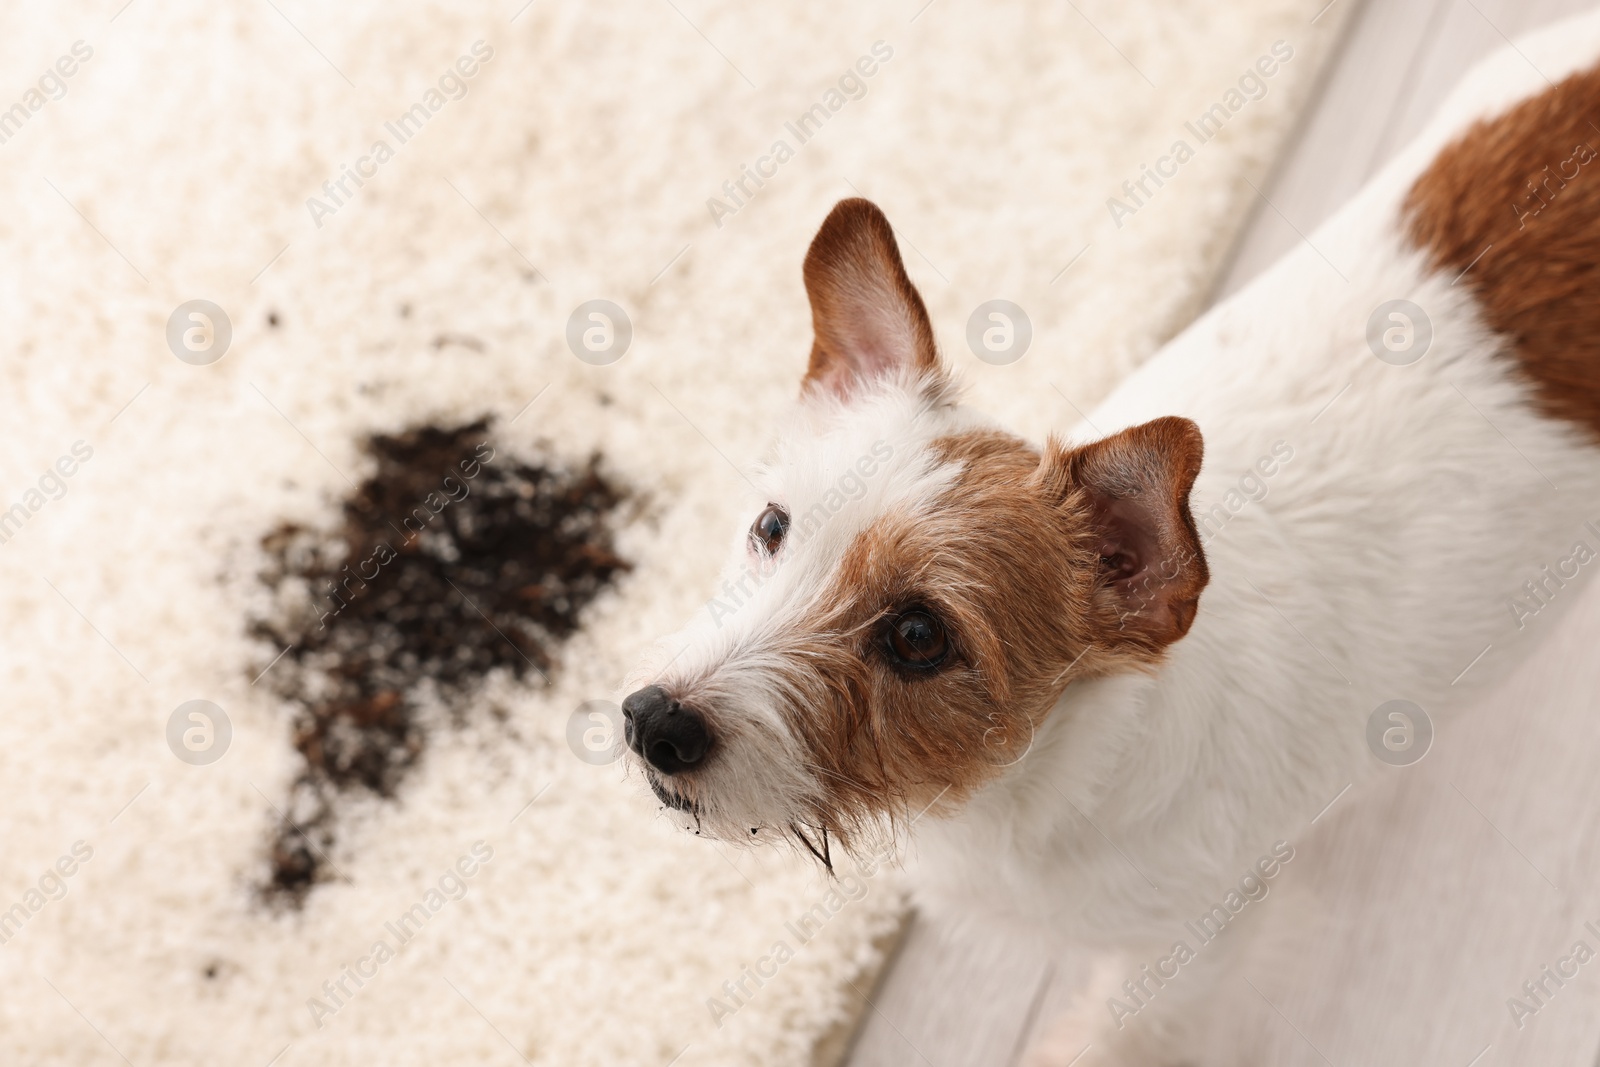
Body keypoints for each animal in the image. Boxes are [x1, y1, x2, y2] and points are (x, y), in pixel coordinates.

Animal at [620, 18, 1600, 1067]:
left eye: (919, 636)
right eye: (773, 526)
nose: (654, 721)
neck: (1031, 786)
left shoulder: (1195, 944)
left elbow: (1121, 1030)